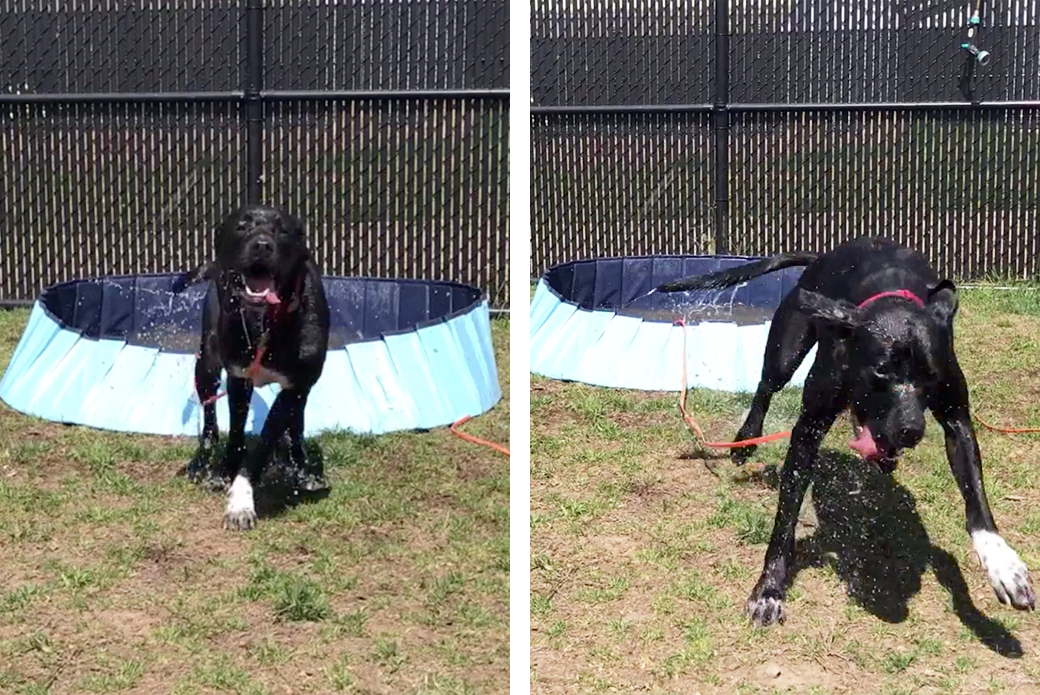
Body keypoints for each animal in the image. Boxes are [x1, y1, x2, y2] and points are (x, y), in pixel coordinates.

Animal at [175, 203, 328, 528]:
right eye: (242, 227)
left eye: (282, 230)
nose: (262, 245)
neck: (265, 321)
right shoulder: (238, 377)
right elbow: (235, 433)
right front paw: (225, 473)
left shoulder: (296, 386)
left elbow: (267, 440)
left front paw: (241, 498)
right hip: (206, 365)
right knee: (210, 419)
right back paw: (202, 463)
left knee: (296, 424)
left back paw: (301, 467)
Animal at [657, 236, 1031, 628]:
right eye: (881, 371)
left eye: (929, 375)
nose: (911, 430)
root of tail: (820, 257)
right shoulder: (808, 429)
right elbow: (785, 517)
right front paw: (769, 590)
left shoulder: (957, 419)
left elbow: (977, 500)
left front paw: (1004, 567)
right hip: (786, 348)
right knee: (765, 387)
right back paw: (746, 438)